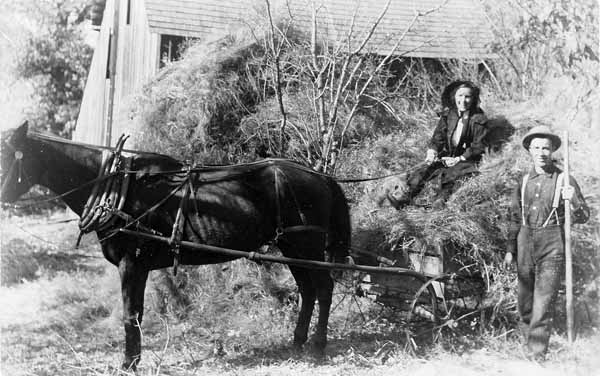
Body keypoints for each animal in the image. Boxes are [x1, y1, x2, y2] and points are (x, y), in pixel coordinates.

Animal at [1, 121, 352, 370]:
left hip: (305, 245)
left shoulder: (132, 264)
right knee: (308, 290)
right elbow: (137, 314)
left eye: (7, 156)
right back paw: (298, 342)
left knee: (323, 288)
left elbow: (132, 314)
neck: (119, 189)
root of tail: (321, 176)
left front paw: (128, 364)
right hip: (293, 248)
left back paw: (317, 346)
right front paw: (133, 360)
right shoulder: (137, 267)